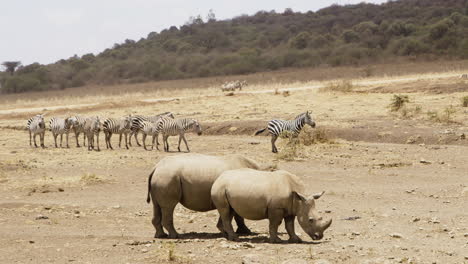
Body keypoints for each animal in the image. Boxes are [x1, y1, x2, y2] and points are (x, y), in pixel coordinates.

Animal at [146, 152, 276, 238]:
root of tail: (156, 167)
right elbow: (238, 215)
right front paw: (245, 231)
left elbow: (234, 214)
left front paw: (241, 231)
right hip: (167, 177)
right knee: (169, 207)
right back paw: (175, 236)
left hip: (162, 177)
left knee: (157, 206)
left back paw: (161, 236)